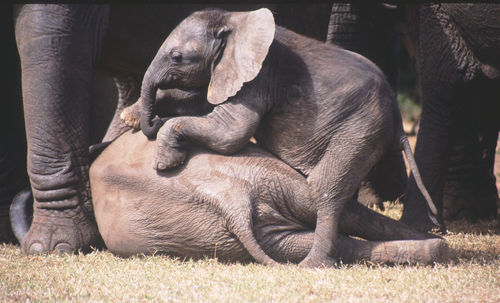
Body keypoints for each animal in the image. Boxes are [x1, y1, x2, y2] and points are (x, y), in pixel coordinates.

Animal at [139, 8, 436, 268]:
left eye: (177, 57)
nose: (153, 121)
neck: (234, 18)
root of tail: (398, 120)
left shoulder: (259, 77)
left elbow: (231, 132)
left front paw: (164, 163)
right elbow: (202, 104)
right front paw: (136, 116)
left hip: (362, 126)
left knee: (325, 188)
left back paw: (313, 264)